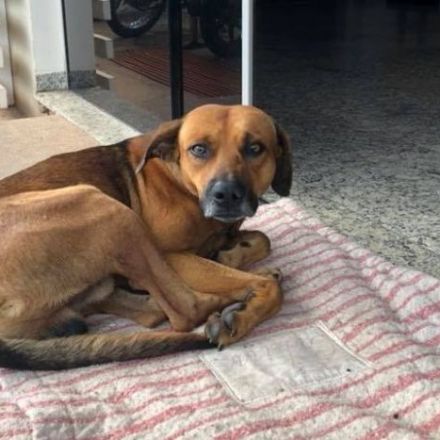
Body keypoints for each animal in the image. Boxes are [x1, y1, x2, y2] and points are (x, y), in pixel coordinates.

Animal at [0, 103, 290, 368]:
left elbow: (263, 239)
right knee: (187, 310)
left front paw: (229, 256)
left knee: (150, 311)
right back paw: (239, 299)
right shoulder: (171, 256)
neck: (180, 179)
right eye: (199, 149)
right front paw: (246, 307)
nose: (227, 194)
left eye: (255, 148)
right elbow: (263, 282)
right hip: (107, 208)